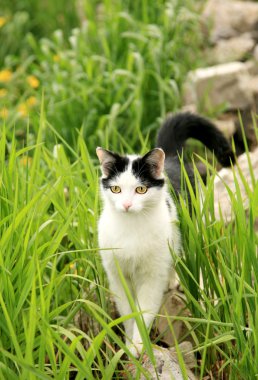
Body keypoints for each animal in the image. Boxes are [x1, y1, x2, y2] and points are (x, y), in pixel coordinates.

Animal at [95, 112, 235, 356]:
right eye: (116, 189)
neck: (131, 227)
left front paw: (138, 345)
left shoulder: (152, 276)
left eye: (141, 189)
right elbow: (128, 312)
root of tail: (170, 157)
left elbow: (144, 310)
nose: (127, 205)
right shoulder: (117, 276)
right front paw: (129, 343)